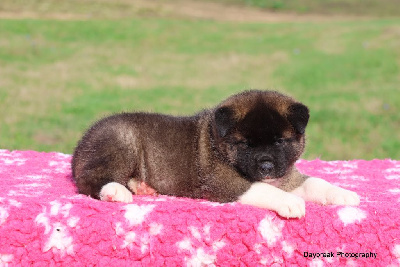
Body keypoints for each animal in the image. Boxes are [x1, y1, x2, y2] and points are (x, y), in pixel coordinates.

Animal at [72, 91, 360, 219]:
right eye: (246, 144)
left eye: (280, 141)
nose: (266, 167)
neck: (220, 144)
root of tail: (80, 145)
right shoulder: (225, 182)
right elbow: (262, 189)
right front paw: (290, 202)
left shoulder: (287, 175)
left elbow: (315, 182)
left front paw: (343, 193)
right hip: (121, 141)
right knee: (90, 178)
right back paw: (115, 191)